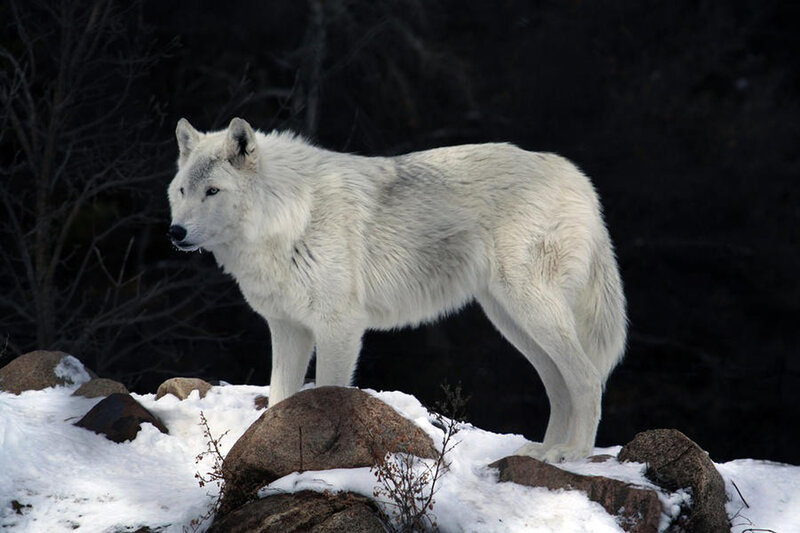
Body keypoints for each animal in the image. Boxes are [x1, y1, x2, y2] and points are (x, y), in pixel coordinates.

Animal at [167, 117, 627, 461]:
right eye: (183, 190)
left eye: (213, 191)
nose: (175, 233)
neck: (290, 215)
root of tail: (577, 177)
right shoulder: (288, 328)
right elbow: (280, 399)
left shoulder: (339, 326)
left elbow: (329, 391)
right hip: (512, 321)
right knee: (559, 386)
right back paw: (545, 451)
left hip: (531, 310)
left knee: (587, 378)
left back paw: (574, 453)